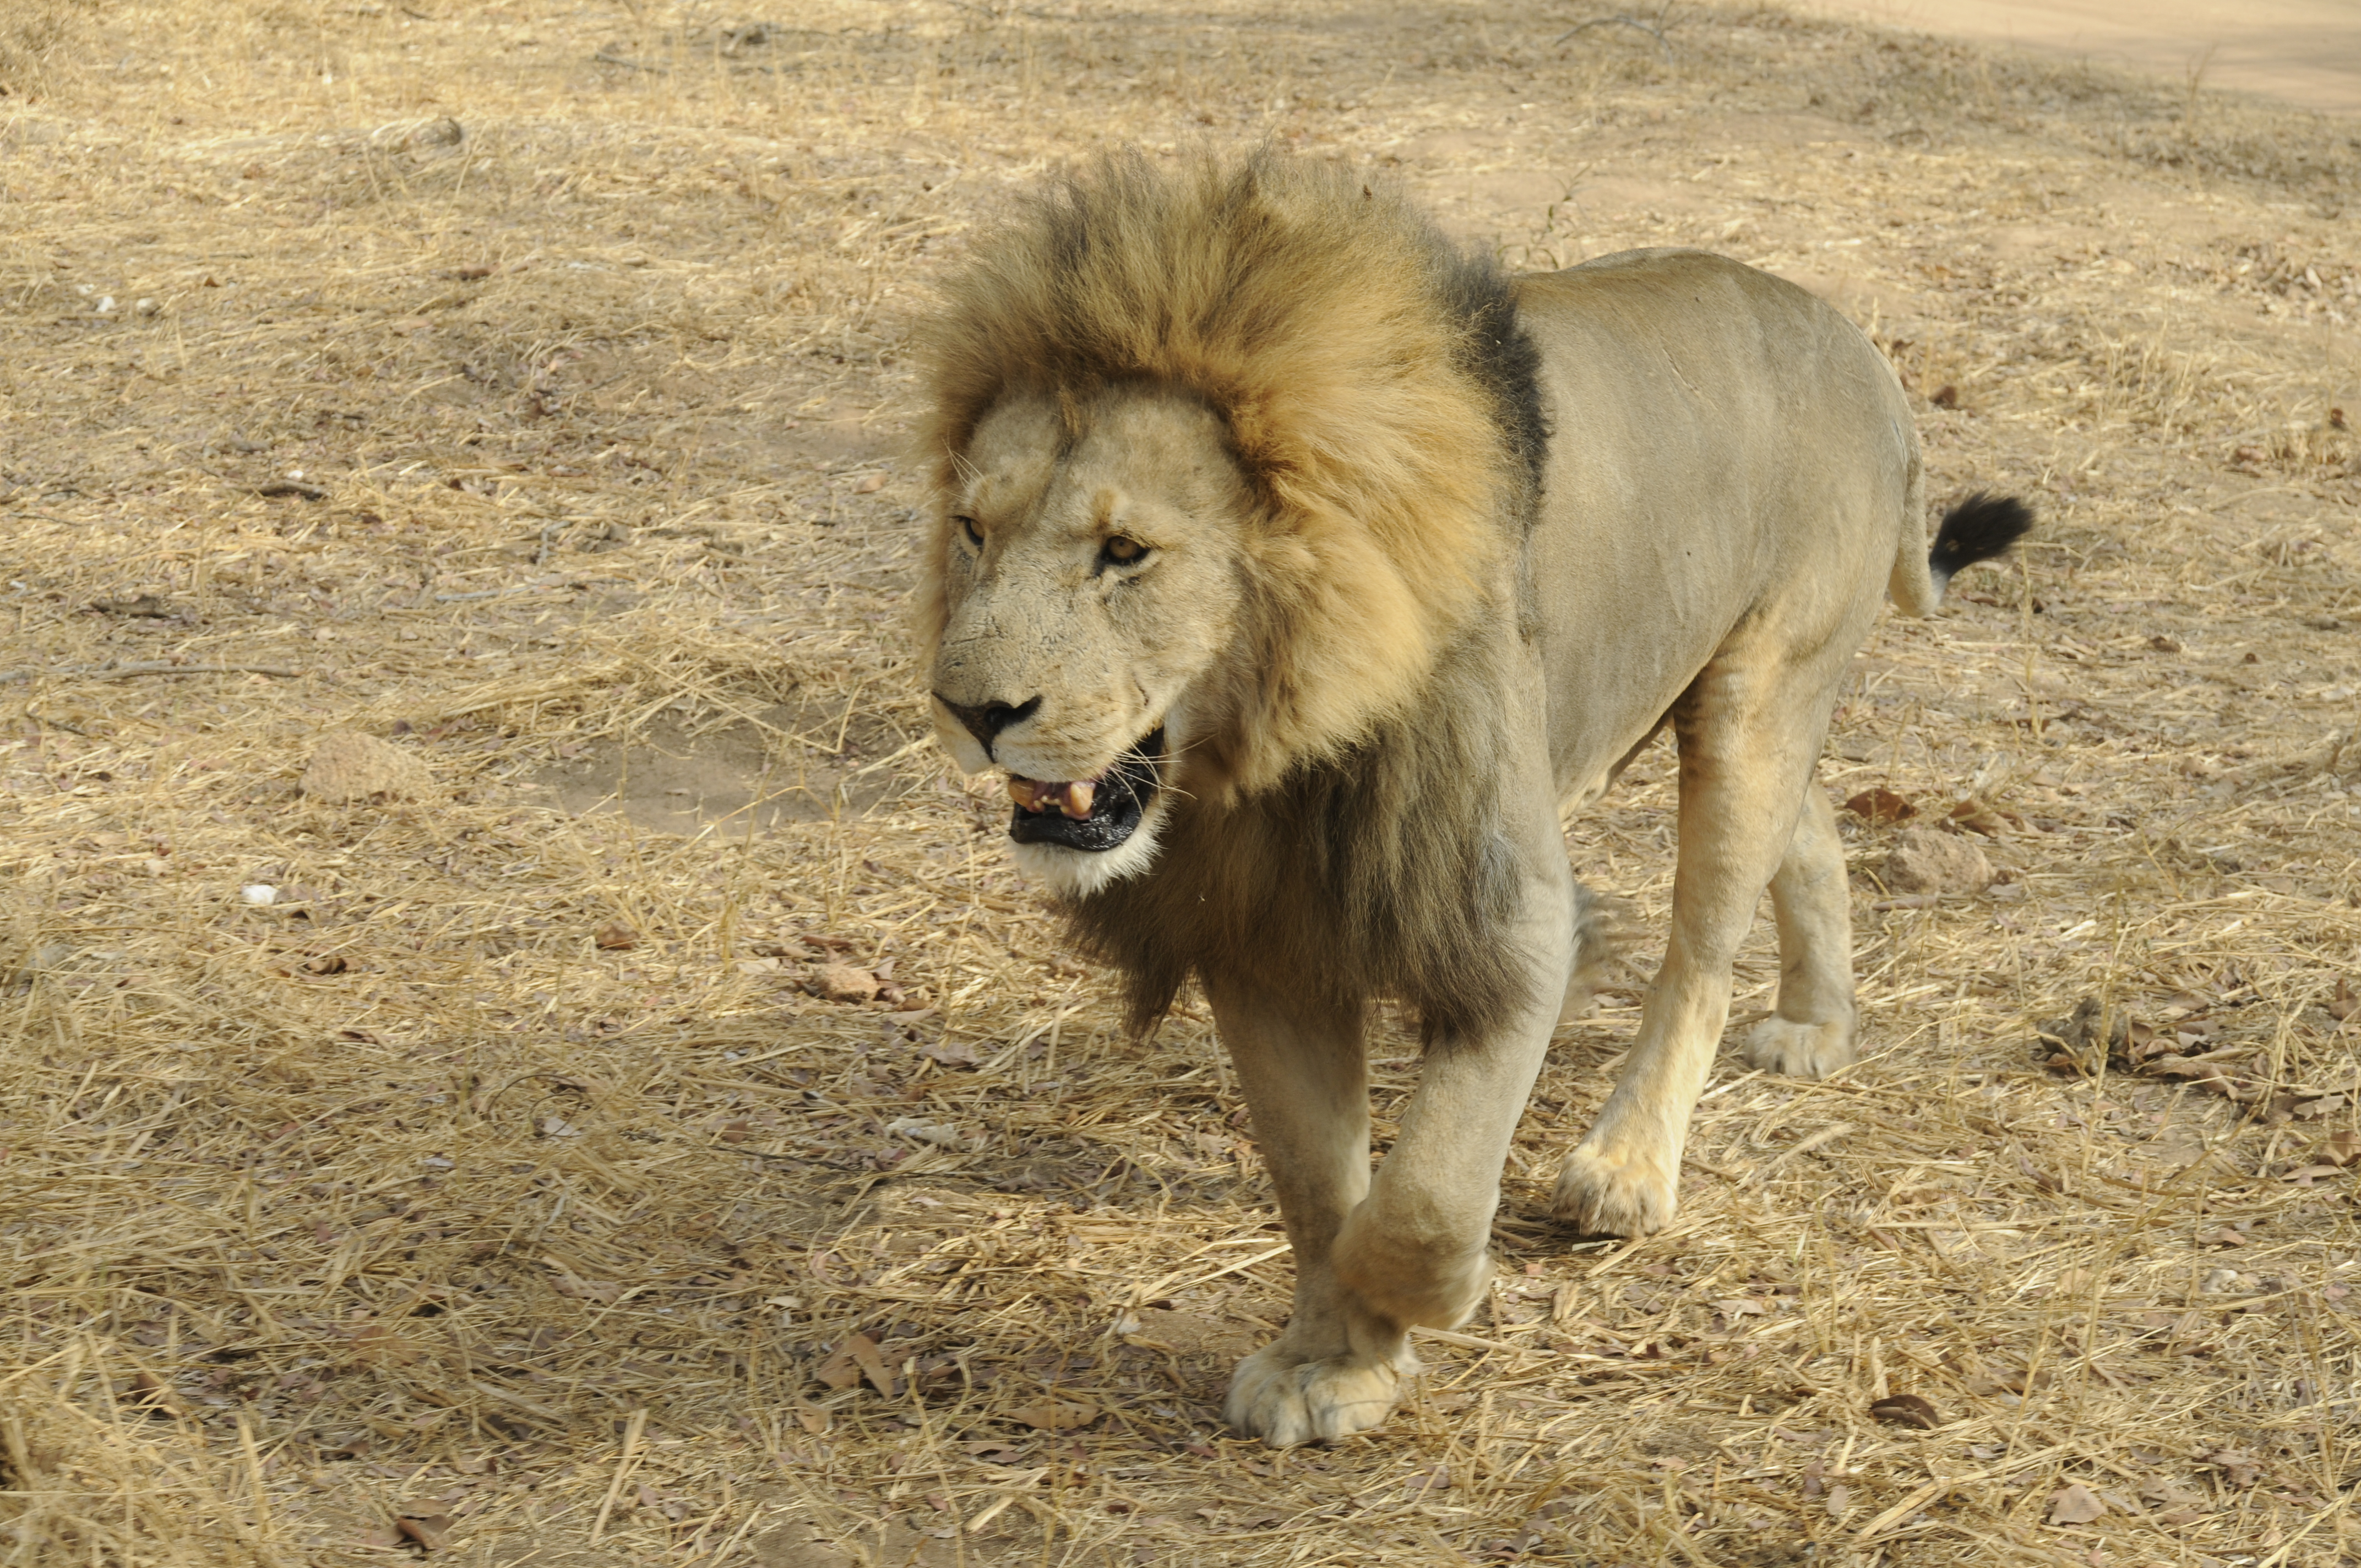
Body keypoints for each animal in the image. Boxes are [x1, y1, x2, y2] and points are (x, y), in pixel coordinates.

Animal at [915, 150, 2030, 1447]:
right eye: (971, 530)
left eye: (1125, 552)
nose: (969, 710)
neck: (1273, 751)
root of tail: (1862, 349)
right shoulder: (1257, 938)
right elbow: (1318, 1181)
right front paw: (1331, 1361)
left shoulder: (1507, 919)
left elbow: (1425, 1195)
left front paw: (1434, 1297)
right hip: (1732, 700)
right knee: (1811, 831)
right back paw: (1815, 1021)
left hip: (1756, 697)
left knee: (1703, 948)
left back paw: (1625, 1168)